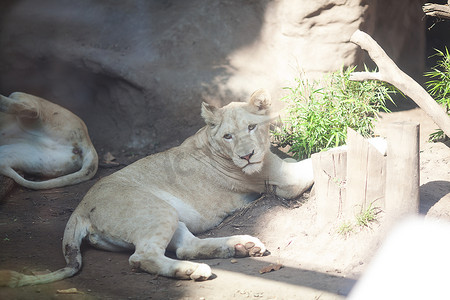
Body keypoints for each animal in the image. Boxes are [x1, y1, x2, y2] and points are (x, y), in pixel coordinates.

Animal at [0, 88, 314, 286]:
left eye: (251, 128)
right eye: (228, 136)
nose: (247, 156)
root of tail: (79, 209)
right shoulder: (285, 179)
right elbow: (313, 161)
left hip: (171, 215)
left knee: (185, 246)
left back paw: (241, 246)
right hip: (159, 211)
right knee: (143, 257)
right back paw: (196, 270)